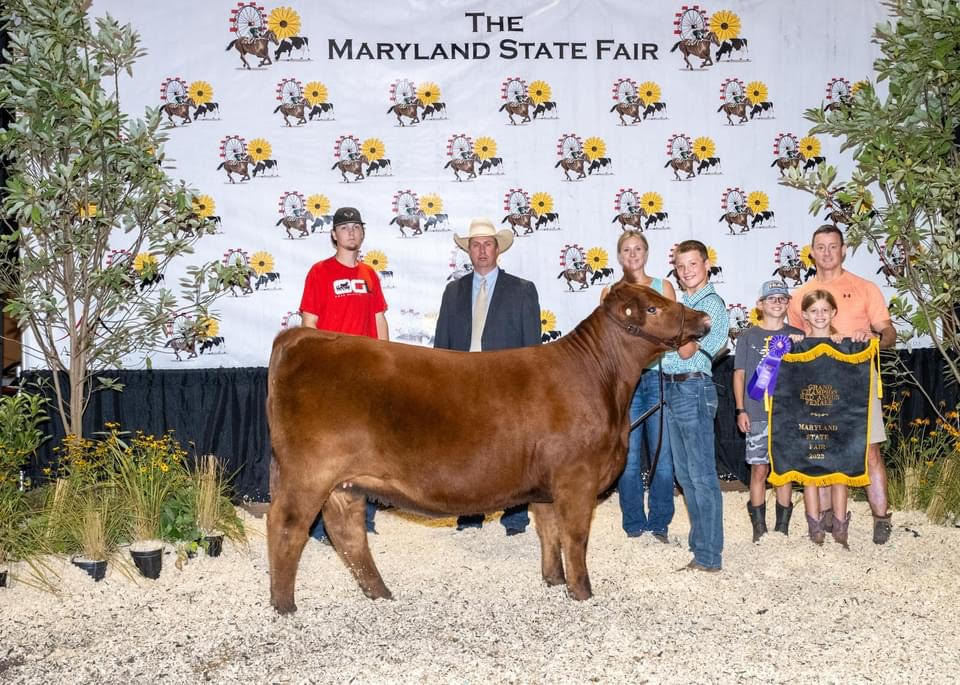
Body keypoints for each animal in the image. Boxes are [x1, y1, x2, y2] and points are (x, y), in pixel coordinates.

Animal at [265, 282, 710, 613]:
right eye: (652, 308)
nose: (704, 319)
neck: (602, 380)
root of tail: (303, 335)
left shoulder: (547, 486)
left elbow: (549, 533)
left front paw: (553, 581)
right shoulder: (576, 478)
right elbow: (575, 537)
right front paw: (582, 593)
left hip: (345, 483)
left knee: (347, 532)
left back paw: (380, 595)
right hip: (309, 473)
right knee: (286, 527)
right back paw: (284, 606)